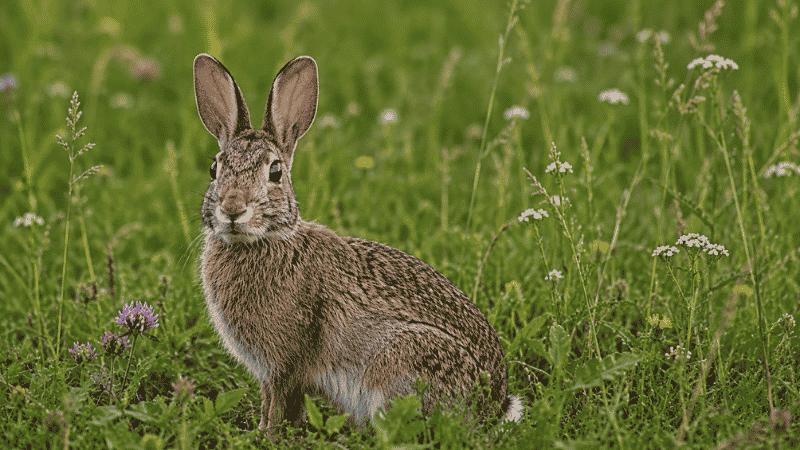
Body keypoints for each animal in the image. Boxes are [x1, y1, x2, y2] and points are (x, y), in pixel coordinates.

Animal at [193, 53, 523, 434]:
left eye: (275, 172)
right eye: (214, 169)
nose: (232, 209)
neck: (264, 241)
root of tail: (494, 406)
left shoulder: (282, 364)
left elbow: (278, 402)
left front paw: (268, 435)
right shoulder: (271, 371)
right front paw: (263, 431)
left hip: (402, 361)